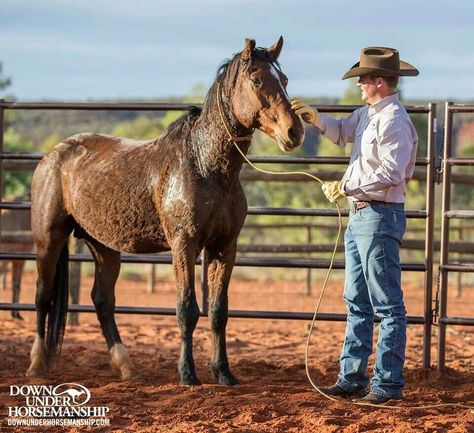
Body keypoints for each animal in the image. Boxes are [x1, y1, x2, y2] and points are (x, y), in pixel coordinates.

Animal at [25, 35, 304, 384]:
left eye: (285, 80)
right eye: (256, 79)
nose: (294, 131)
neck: (204, 166)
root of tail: (53, 156)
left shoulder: (225, 248)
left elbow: (218, 312)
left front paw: (224, 373)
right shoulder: (184, 245)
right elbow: (186, 309)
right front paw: (188, 374)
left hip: (104, 246)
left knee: (103, 301)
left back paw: (127, 368)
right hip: (49, 239)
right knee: (43, 296)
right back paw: (36, 365)